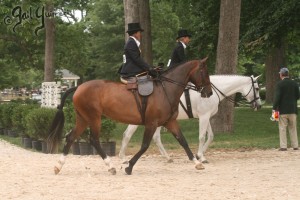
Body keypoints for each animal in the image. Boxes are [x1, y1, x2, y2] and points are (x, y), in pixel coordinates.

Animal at [48, 57, 212, 174]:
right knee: (93, 140)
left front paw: (197, 163)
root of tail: (78, 87)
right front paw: (129, 166)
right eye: (204, 72)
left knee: (71, 137)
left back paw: (58, 166)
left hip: (83, 118)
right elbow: (145, 145)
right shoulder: (152, 123)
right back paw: (110, 166)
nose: (209, 92)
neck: (166, 89)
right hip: (94, 118)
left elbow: (183, 141)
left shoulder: (170, 122)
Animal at [118, 74, 262, 163]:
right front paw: (200, 157)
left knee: (156, 137)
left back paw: (167, 157)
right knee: (127, 134)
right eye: (257, 88)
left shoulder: (206, 116)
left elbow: (210, 136)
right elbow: (202, 137)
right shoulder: (204, 116)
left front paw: (200, 155)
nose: (259, 106)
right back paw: (122, 158)